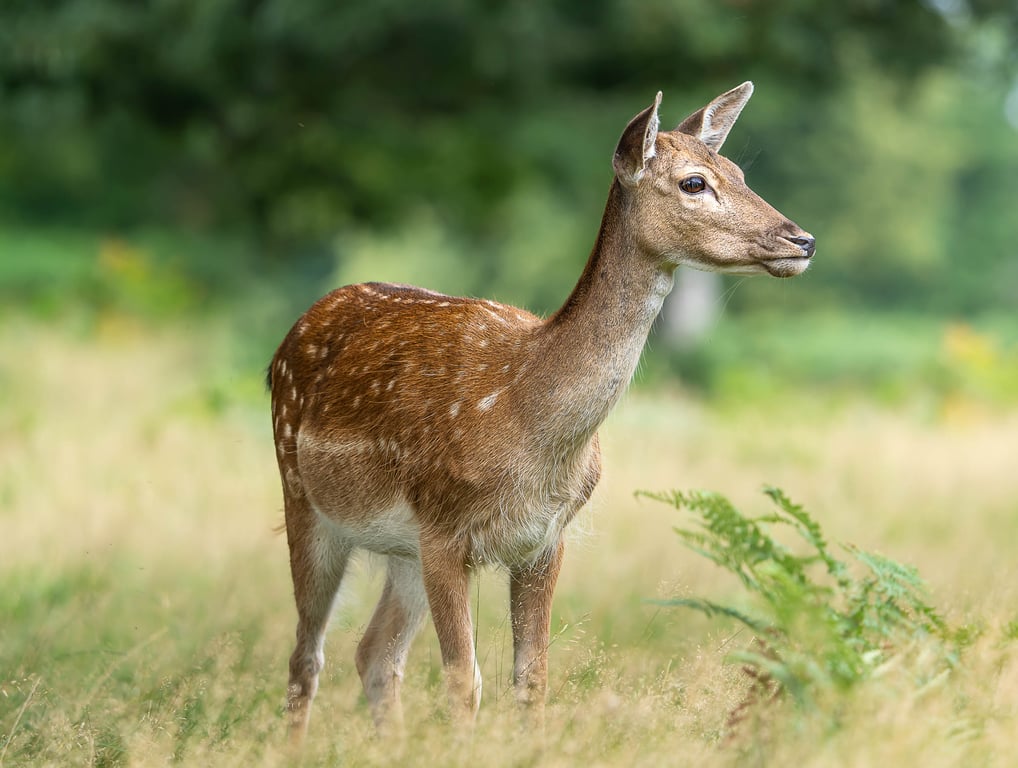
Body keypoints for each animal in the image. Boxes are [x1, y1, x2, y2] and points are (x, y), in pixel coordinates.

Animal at [268, 81, 815, 743]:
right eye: (694, 182)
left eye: (737, 171)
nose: (802, 240)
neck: (528, 423)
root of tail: (290, 337)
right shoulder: (444, 529)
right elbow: (465, 681)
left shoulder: (544, 540)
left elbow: (531, 678)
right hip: (305, 499)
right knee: (307, 655)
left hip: (400, 549)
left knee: (374, 653)